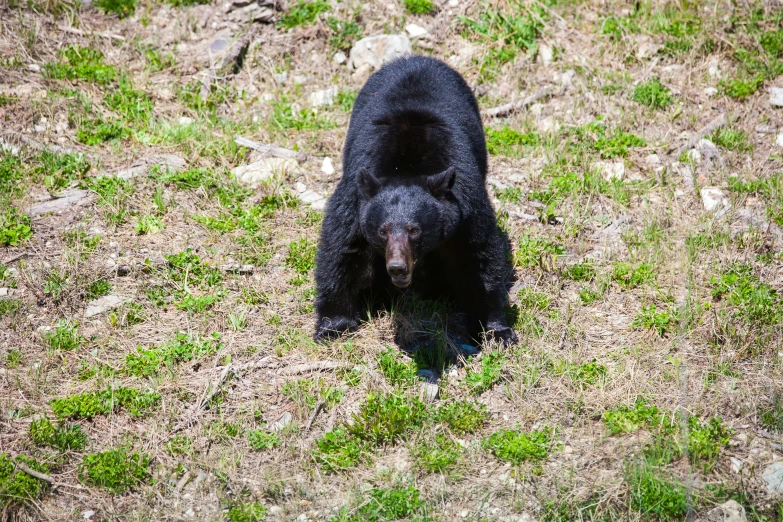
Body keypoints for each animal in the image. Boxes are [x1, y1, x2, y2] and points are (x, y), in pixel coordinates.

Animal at [312, 54, 520, 346]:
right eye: (383, 231)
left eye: (414, 230)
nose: (398, 267)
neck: (406, 167)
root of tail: (417, 58)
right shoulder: (355, 194)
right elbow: (342, 247)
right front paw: (333, 326)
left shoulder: (465, 200)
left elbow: (477, 256)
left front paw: (495, 329)